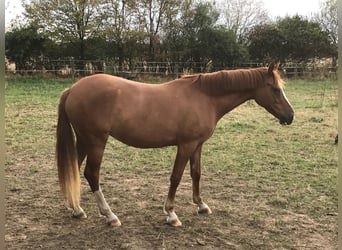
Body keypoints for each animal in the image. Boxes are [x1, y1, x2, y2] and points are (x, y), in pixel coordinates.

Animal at [56, 62, 294, 227]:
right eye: (275, 89)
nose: (290, 116)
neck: (205, 97)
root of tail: (72, 89)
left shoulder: (197, 145)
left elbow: (196, 173)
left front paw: (201, 205)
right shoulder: (186, 145)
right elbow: (176, 177)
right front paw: (171, 214)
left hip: (85, 140)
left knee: (75, 168)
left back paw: (77, 210)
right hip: (96, 141)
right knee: (91, 174)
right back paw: (110, 215)